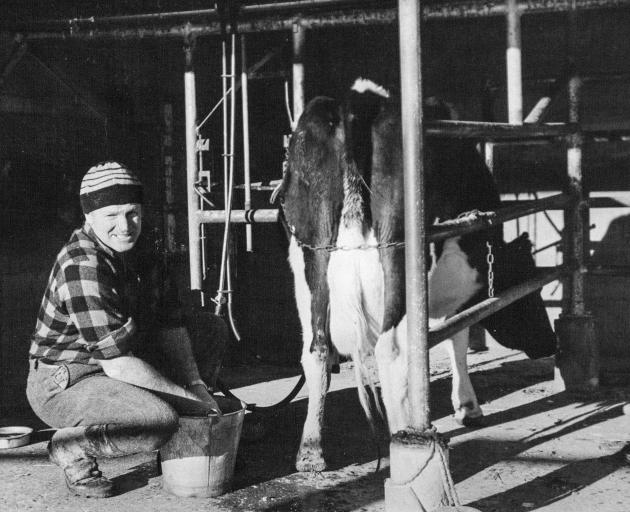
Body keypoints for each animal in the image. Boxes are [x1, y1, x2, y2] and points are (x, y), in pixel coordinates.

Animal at [278, 78, 556, 470]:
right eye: (531, 295)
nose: (551, 343)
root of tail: (357, 99)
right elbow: (457, 333)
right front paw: (468, 406)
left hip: (309, 255)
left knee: (316, 348)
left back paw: (311, 449)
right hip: (397, 253)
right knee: (391, 348)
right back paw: (405, 436)